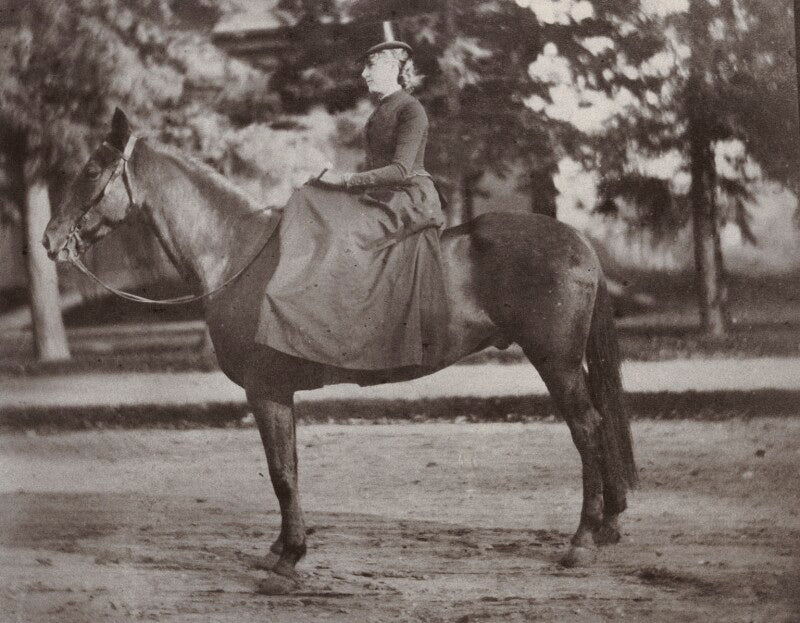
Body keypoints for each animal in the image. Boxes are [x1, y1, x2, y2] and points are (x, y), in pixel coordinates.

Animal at [43, 108, 636, 594]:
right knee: (600, 423)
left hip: (555, 361)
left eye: (92, 170)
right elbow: (288, 468)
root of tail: (577, 241)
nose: (50, 241)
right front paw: (281, 550)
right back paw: (609, 525)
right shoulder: (277, 393)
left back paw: (582, 541)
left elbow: (282, 472)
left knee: (587, 427)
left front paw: (289, 559)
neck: (236, 251)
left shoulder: (266, 390)